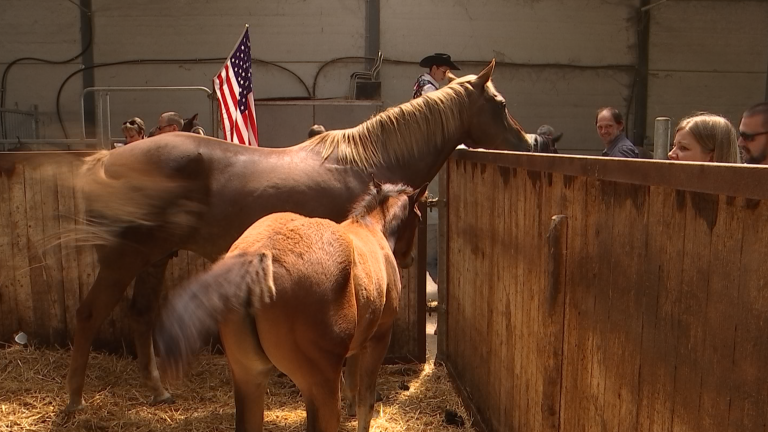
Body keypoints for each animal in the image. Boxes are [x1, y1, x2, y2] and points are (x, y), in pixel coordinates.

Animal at [153, 181, 428, 432]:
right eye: (418, 217)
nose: (410, 258)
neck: (371, 229)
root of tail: (258, 256)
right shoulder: (379, 337)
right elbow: (365, 401)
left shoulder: (359, 342)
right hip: (320, 385)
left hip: (248, 377)